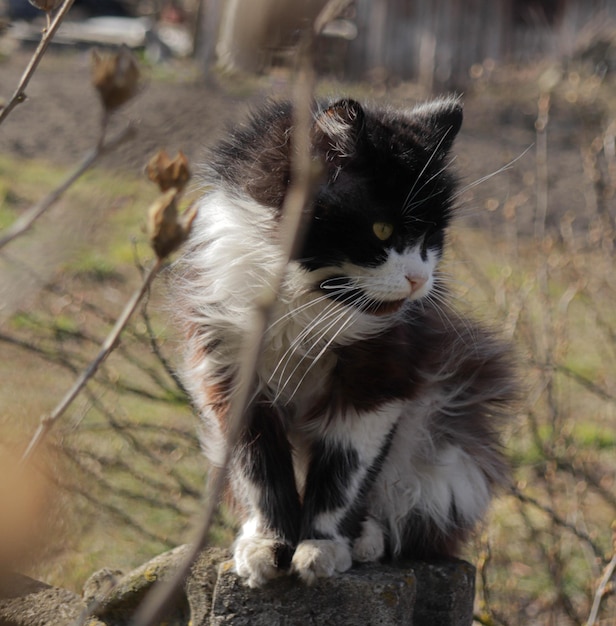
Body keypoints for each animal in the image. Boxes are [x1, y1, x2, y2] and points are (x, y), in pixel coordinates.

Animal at [176, 96, 516, 584]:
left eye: (433, 237)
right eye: (381, 230)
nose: (419, 279)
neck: (306, 304)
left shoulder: (376, 383)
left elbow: (343, 472)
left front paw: (321, 547)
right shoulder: (230, 368)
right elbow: (259, 471)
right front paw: (267, 546)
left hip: (444, 454)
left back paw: (366, 539)